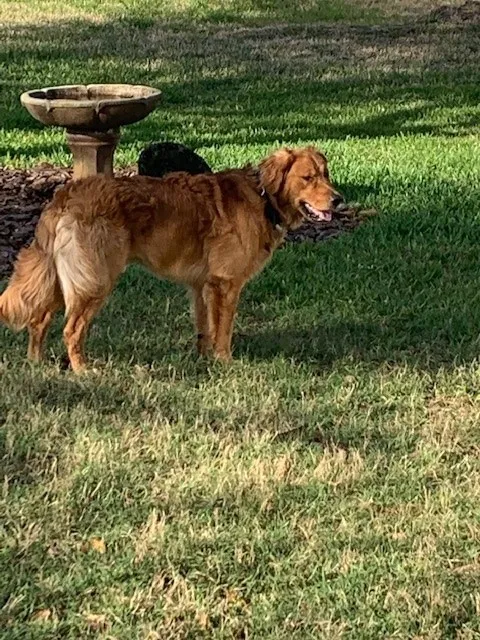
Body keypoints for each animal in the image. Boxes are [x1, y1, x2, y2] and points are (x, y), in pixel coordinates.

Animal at [0, 146, 344, 372]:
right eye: (307, 178)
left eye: (326, 175)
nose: (339, 200)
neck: (263, 198)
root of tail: (64, 195)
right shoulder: (225, 285)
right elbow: (224, 329)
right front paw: (225, 362)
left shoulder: (202, 286)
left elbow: (205, 328)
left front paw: (204, 360)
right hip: (95, 280)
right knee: (70, 330)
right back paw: (83, 370)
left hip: (67, 278)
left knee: (39, 319)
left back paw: (37, 363)